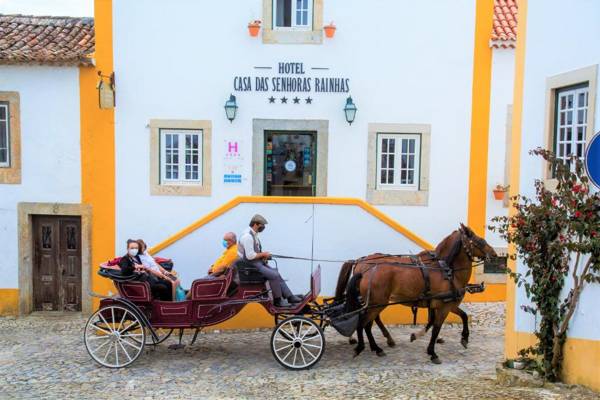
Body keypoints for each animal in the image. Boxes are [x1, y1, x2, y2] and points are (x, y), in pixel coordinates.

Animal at [340, 223, 494, 364]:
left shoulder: (447, 304)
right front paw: (432, 352)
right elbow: (436, 327)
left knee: (368, 323)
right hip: (376, 303)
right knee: (363, 323)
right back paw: (362, 347)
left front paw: (464, 338)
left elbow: (462, 316)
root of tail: (361, 265)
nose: (494, 254)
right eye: (479, 240)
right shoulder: (444, 307)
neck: (446, 270)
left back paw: (377, 347)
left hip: (374, 304)